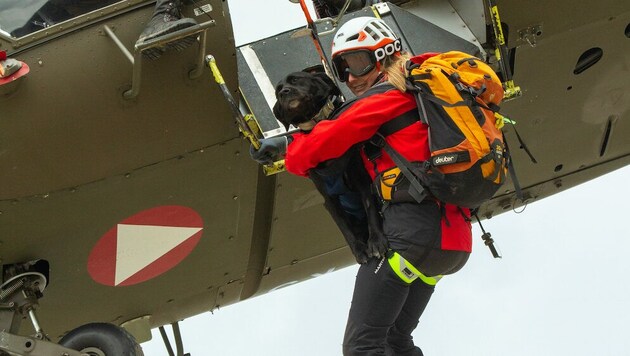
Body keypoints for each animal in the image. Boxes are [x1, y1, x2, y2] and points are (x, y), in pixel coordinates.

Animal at [272, 70, 388, 264]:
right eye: (277, 91)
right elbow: (344, 227)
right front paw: (359, 250)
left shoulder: (361, 181)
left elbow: (370, 207)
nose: (284, 92)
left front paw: (377, 241)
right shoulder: (329, 198)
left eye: (295, 79)